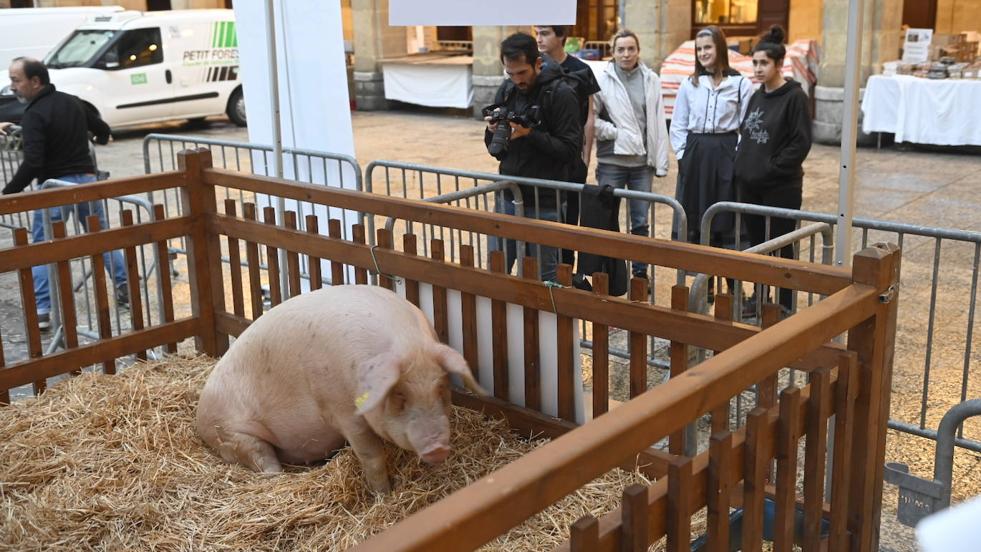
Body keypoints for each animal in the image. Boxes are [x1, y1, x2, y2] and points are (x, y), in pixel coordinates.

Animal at [193, 284, 480, 492]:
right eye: (400, 396)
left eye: (441, 388)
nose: (438, 448)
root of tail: (200, 413)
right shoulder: (343, 411)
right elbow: (372, 456)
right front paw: (384, 495)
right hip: (232, 433)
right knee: (264, 461)